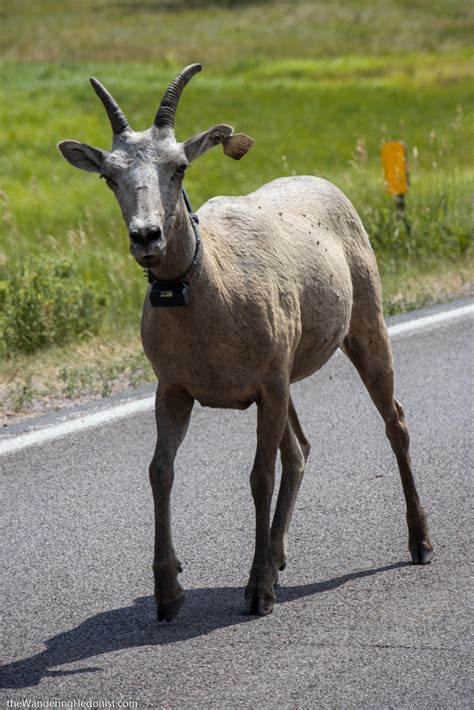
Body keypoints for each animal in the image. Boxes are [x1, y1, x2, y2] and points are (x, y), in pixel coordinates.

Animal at [59, 65, 434, 624]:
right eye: (109, 175)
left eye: (179, 167)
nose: (146, 237)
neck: (211, 299)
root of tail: (327, 186)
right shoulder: (174, 391)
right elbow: (160, 472)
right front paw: (169, 595)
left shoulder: (266, 388)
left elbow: (259, 476)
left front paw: (256, 594)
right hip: (288, 380)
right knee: (300, 451)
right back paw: (278, 556)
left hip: (366, 331)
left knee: (395, 423)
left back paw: (420, 544)